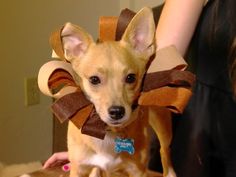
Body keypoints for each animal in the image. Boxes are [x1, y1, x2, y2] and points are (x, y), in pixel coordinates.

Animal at [61, 6, 177, 177]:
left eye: (130, 78)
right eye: (94, 80)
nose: (117, 111)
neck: (107, 132)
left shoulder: (137, 170)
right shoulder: (79, 169)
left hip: (163, 125)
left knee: (165, 151)